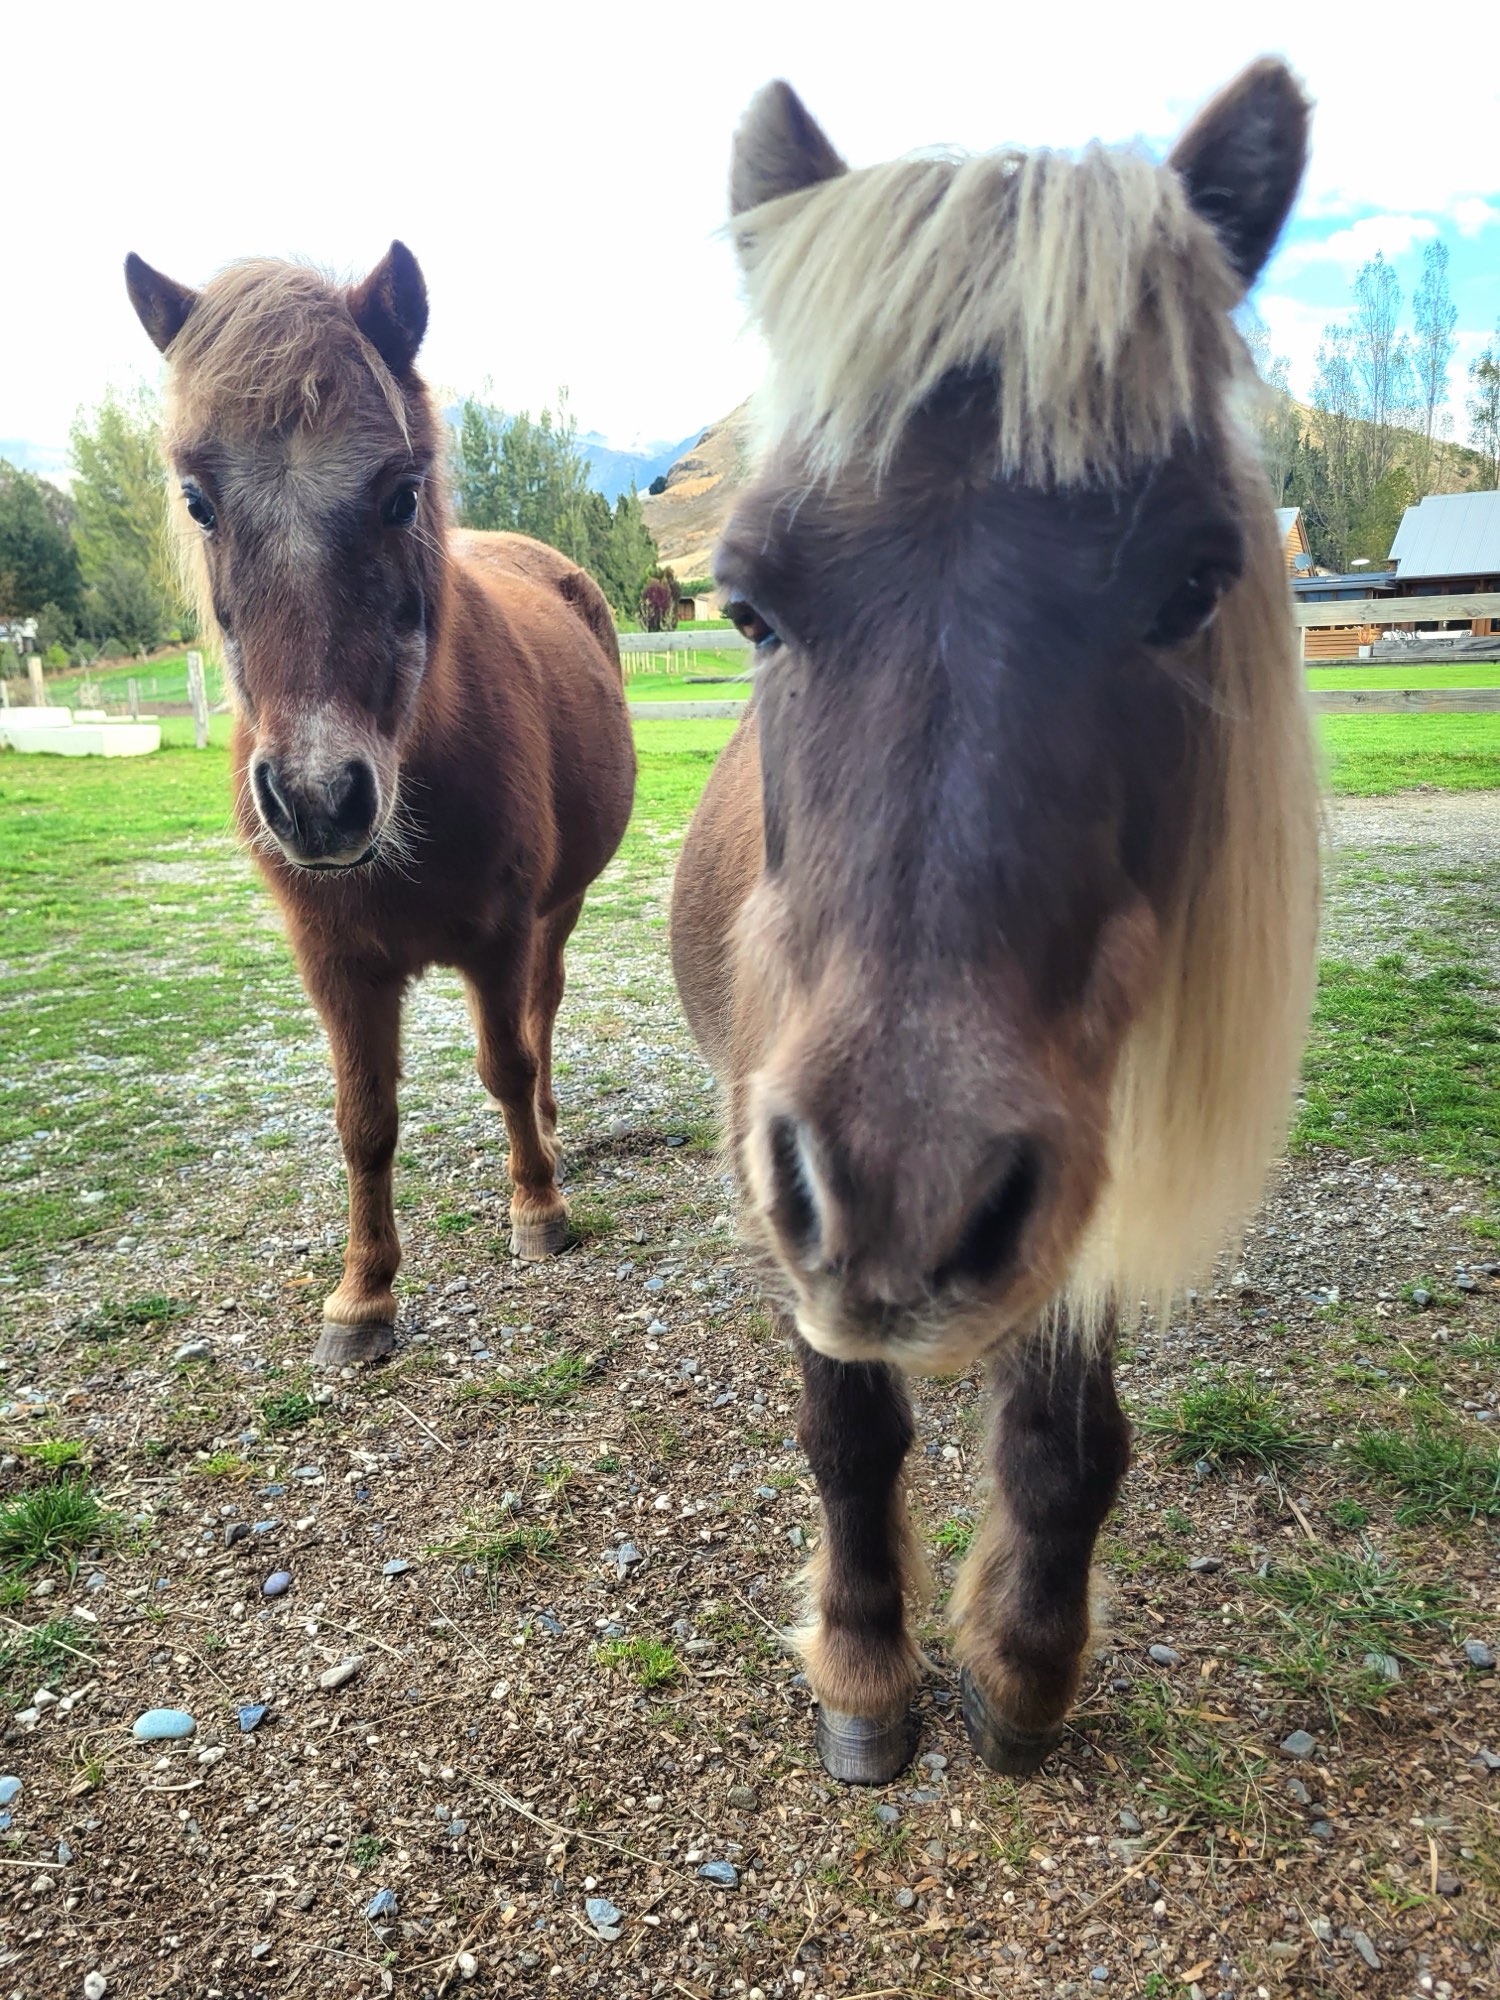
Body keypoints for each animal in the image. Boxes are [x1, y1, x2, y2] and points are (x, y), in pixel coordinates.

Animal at [125, 244, 636, 1369]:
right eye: (198, 499)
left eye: (400, 495)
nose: (319, 801)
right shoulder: (336, 963)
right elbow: (363, 1121)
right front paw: (362, 1293)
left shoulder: (500, 933)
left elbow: (506, 1060)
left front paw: (538, 1207)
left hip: (560, 908)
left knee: (542, 1013)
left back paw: (551, 1135)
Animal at [670, 63, 1321, 1783]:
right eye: (748, 604)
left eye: (1192, 585)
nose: (910, 1194)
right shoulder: (804, 1189)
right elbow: (847, 1430)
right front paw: (864, 1666)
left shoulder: (1090, 1156)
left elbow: (1066, 1439)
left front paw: (1024, 1671)